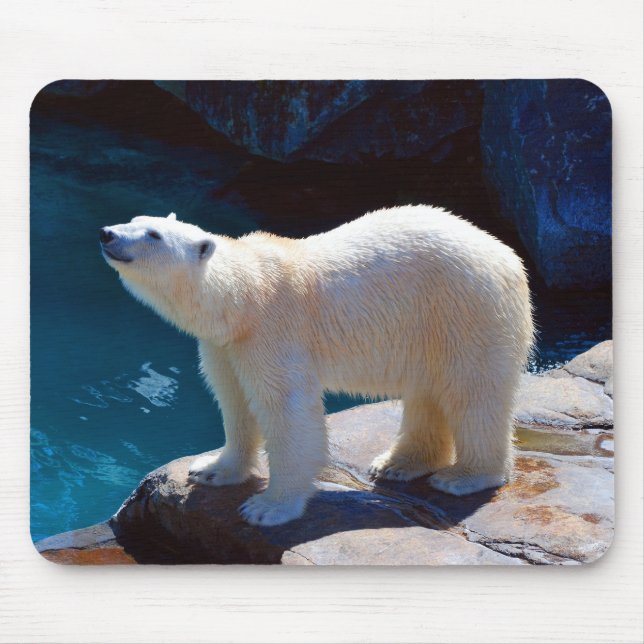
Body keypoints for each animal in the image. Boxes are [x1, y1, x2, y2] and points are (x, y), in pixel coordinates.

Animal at [100, 206, 534, 527]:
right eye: (135, 220)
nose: (107, 233)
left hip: (466, 309)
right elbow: (234, 400)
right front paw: (211, 469)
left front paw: (268, 507)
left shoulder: (273, 333)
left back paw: (464, 477)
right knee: (427, 391)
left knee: (472, 392)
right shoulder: (226, 345)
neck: (244, 297)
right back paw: (398, 464)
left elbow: (287, 411)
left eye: (154, 235)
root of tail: (508, 257)